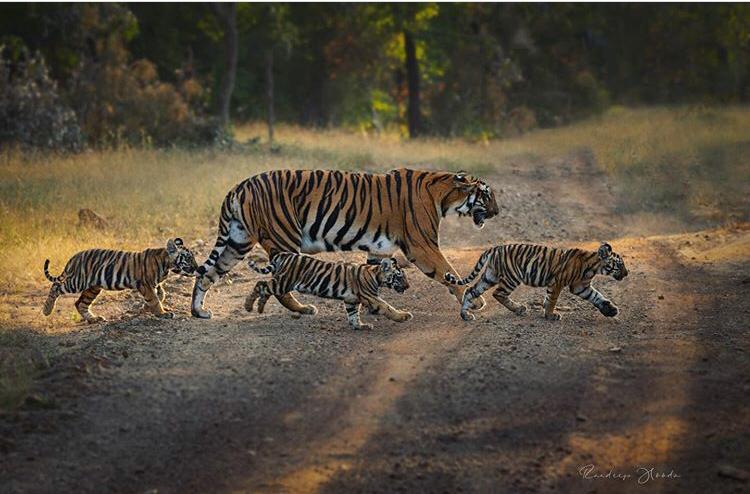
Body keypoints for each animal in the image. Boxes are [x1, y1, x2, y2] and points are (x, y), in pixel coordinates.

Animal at [42, 238, 198, 323]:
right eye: (188, 258)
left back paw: (94, 319)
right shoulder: (145, 284)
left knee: (80, 303)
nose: (199, 269)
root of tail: (74, 257)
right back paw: (46, 310)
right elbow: (154, 299)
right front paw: (162, 313)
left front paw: (146, 308)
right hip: (77, 281)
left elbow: (161, 295)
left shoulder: (154, 284)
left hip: (93, 287)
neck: (166, 264)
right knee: (56, 286)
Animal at [192, 168, 499, 319]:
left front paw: (373, 308)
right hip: (283, 239)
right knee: (279, 285)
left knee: (206, 275)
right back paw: (303, 310)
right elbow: (449, 272)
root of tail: (238, 186)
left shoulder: (380, 248)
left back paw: (199, 312)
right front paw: (476, 301)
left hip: (237, 242)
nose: (497, 212)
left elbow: (375, 278)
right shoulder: (421, 246)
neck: (445, 196)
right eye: (487, 195)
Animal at [244, 253, 411, 330]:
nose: (408, 286)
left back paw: (259, 307)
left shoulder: (351, 300)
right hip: (284, 282)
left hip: (281, 282)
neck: (376, 275)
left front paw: (360, 326)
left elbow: (353, 315)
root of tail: (284, 255)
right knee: (260, 285)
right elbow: (388, 307)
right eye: (399, 276)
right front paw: (404, 316)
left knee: (264, 288)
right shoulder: (371, 297)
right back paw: (248, 306)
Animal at [445, 242, 628, 322]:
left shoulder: (580, 286)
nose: (627, 273)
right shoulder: (558, 282)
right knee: (498, 294)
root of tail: (494, 248)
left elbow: (597, 297)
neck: (594, 267)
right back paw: (519, 309)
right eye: (619, 265)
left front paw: (611, 311)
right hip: (511, 277)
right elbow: (552, 300)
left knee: (470, 291)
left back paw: (465, 315)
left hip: (489, 276)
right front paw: (550, 315)